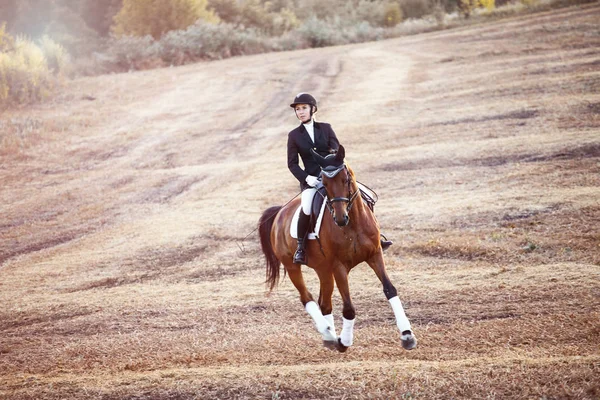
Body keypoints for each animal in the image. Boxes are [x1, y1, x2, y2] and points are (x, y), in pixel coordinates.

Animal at [258, 145, 418, 352]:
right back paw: (328, 333)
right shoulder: (339, 266)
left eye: (346, 179)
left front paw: (407, 335)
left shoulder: (375, 255)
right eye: (324, 183)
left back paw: (329, 336)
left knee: (324, 303)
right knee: (307, 298)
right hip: (293, 266)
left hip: (323, 269)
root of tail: (279, 213)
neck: (353, 225)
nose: (341, 218)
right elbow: (348, 308)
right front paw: (345, 341)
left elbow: (390, 290)